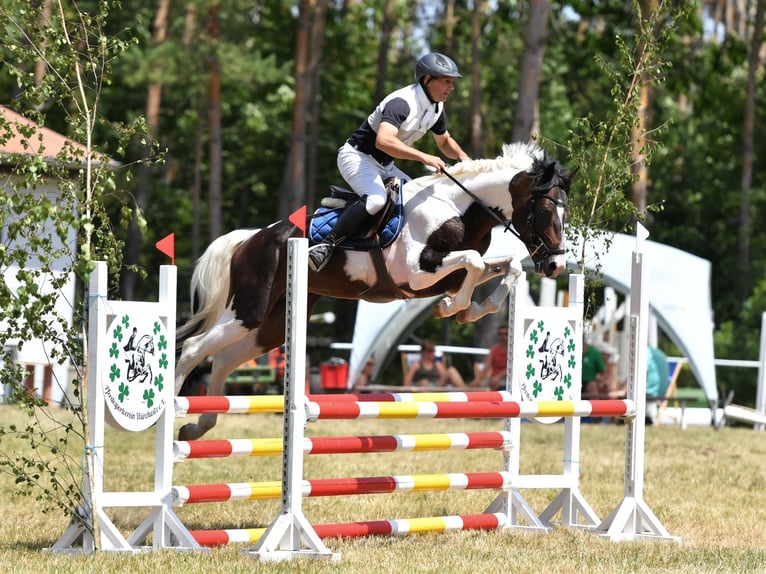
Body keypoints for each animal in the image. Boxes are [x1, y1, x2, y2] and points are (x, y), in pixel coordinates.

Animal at [172, 141, 568, 440]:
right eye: (546, 212)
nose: (555, 267)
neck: (458, 209)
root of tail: (250, 239)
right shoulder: (418, 272)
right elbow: (473, 261)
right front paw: (452, 307)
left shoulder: (449, 272)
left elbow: (503, 266)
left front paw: (467, 309)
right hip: (249, 309)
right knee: (193, 348)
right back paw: (171, 409)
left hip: (269, 326)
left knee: (222, 359)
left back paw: (197, 426)